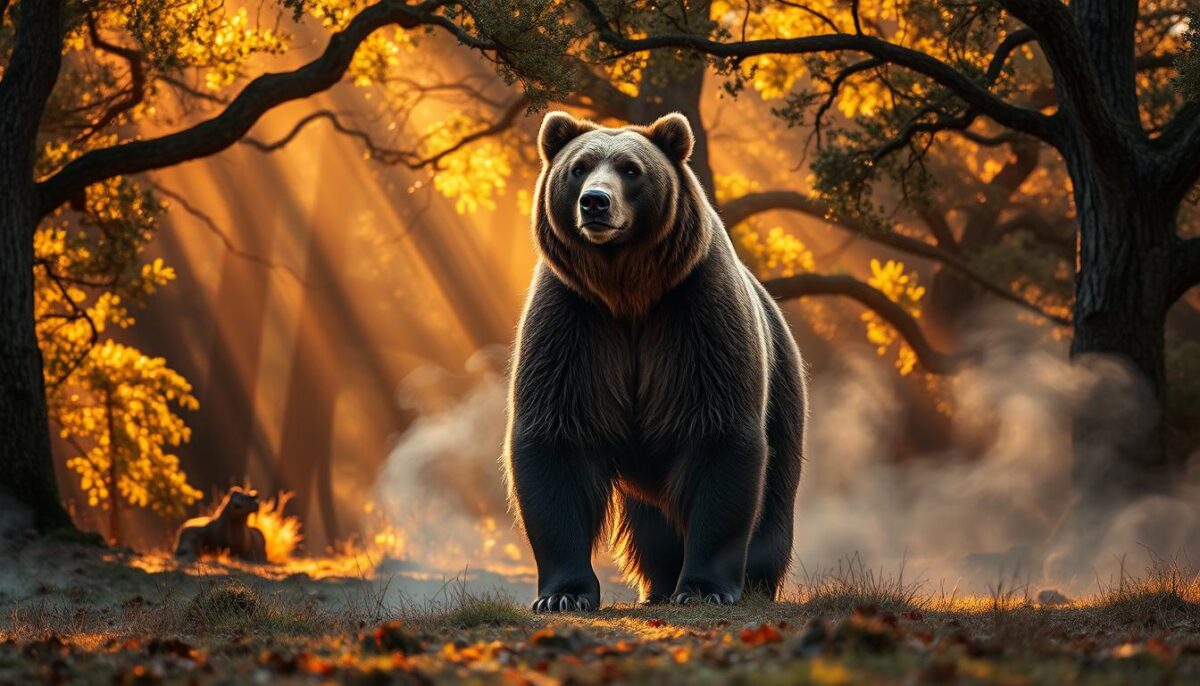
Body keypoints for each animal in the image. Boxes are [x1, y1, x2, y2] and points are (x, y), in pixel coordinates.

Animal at [503, 111, 807, 612]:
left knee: (775, 494)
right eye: (578, 168)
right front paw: (564, 595)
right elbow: (556, 443)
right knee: (650, 523)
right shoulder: (575, 324)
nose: (595, 203)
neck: (627, 291)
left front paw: (704, 588)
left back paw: (756, 581)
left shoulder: (693, 317)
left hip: (781, 386)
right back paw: (658, 585)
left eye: (631, 169)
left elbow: (719, 437)